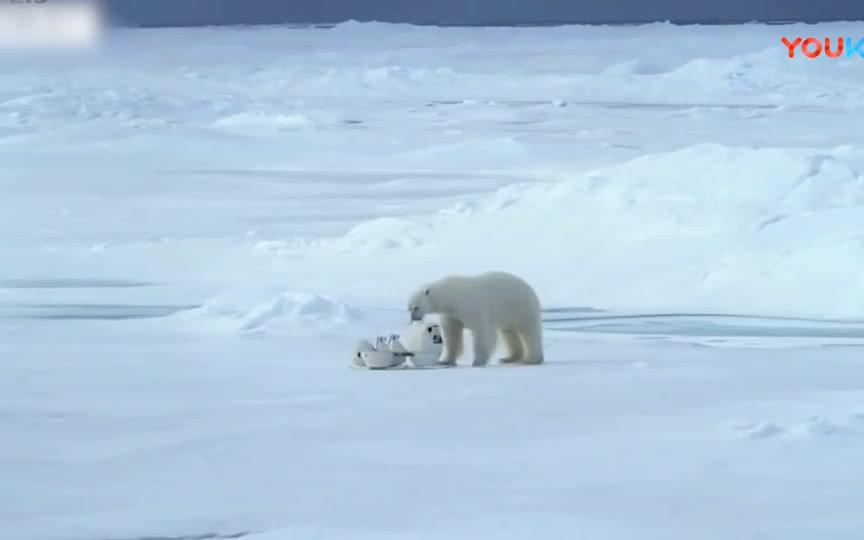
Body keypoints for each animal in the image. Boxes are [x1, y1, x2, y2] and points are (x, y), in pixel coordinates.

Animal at [408, 270, 544, 368]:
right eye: (409, 308)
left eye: (416, 307)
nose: (414, 318)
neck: (452, 296)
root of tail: (532, 292)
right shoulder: (452, 314)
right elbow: (452, 334)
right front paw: (445, 360)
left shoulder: (473, 307)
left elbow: (483, 333)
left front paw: (478, 361)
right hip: (509, 315)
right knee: (509, 333)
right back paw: (508, 358)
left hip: (521, 308)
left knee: (529, 332)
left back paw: (532, 359)